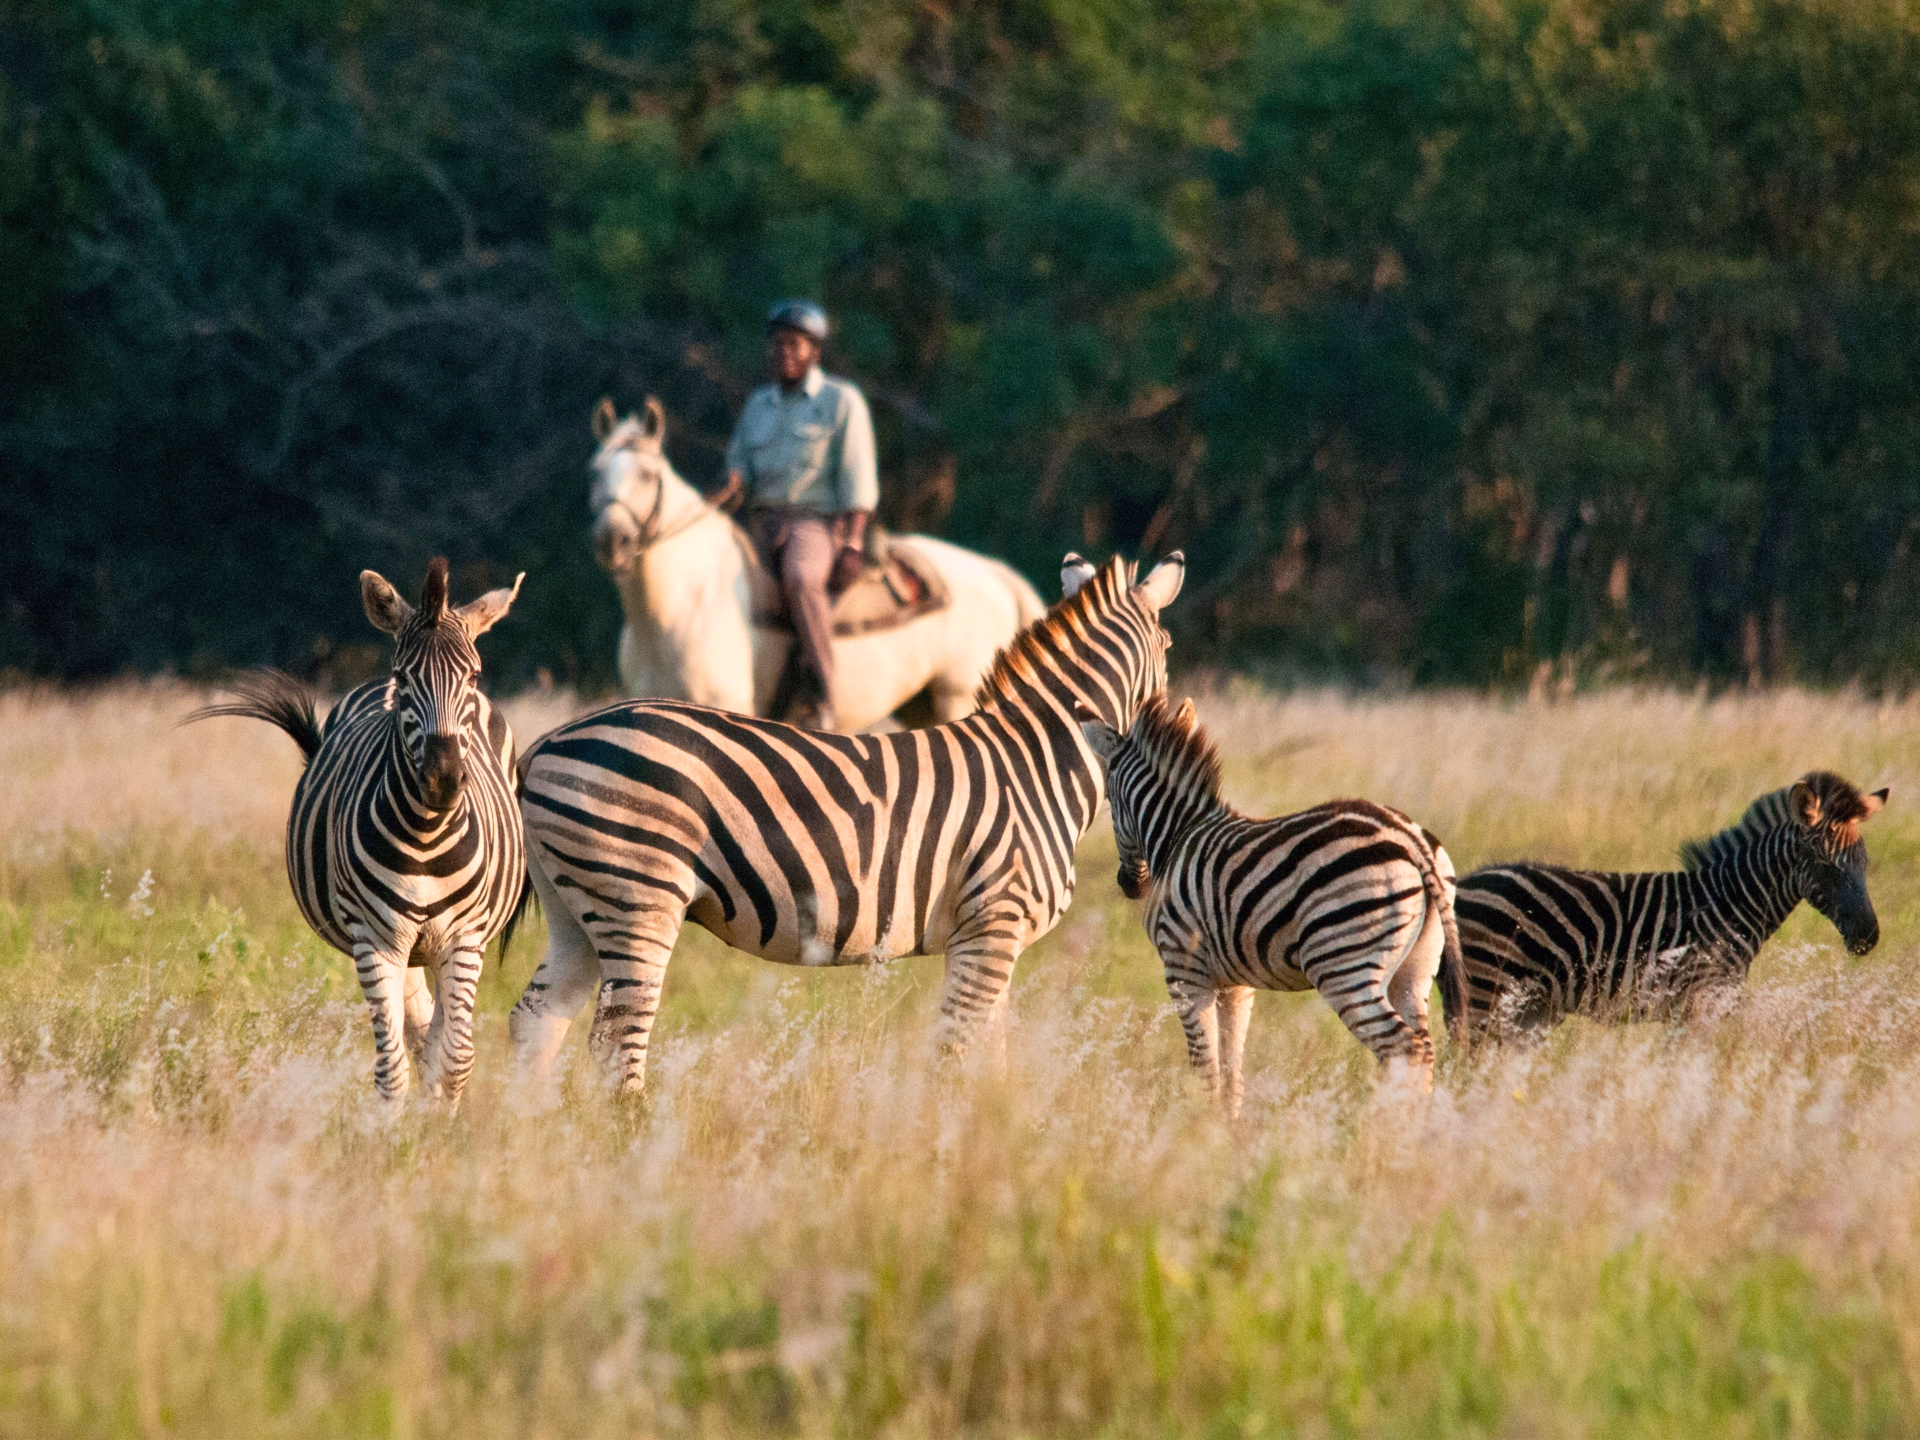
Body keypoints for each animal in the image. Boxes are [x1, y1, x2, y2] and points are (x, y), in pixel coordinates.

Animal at [587, 398, 1046, 730]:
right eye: (595, 472)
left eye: (648, 474)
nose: (612, 541)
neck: (679, 607)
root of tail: (994, 572)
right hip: (925, 705)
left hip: (958, 696)